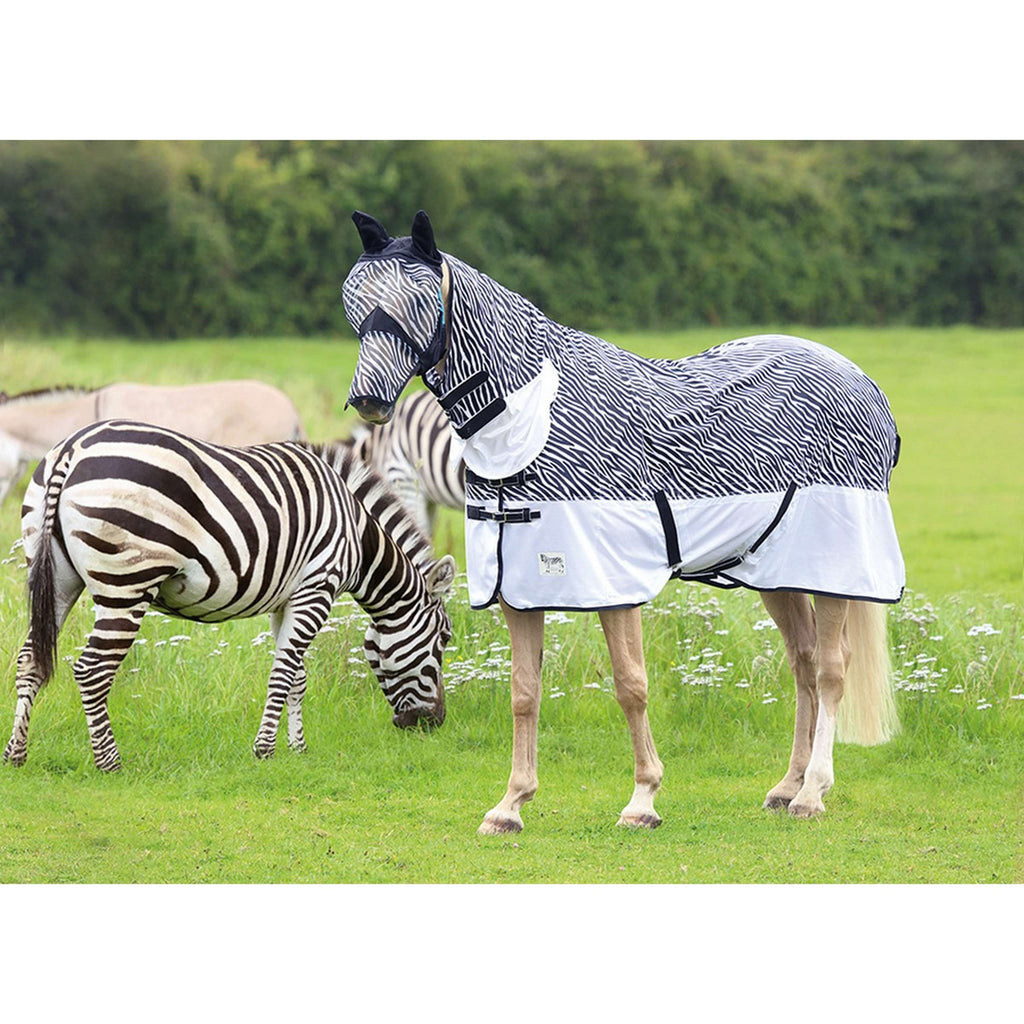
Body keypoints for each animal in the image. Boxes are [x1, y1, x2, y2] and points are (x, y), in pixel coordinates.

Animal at [5, 419, 456, 772]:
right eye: (445, 640)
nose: (434, 722)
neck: (357, 536)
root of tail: (72, 448)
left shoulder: (287, 599)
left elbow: (297, 676)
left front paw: (297, 747)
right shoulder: (317, 587)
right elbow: (283, 672)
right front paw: (265, 750)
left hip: (57, 577)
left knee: (30, 659)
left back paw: (16, 754)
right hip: (127, 583)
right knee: (92, 669)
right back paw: (110, 762)